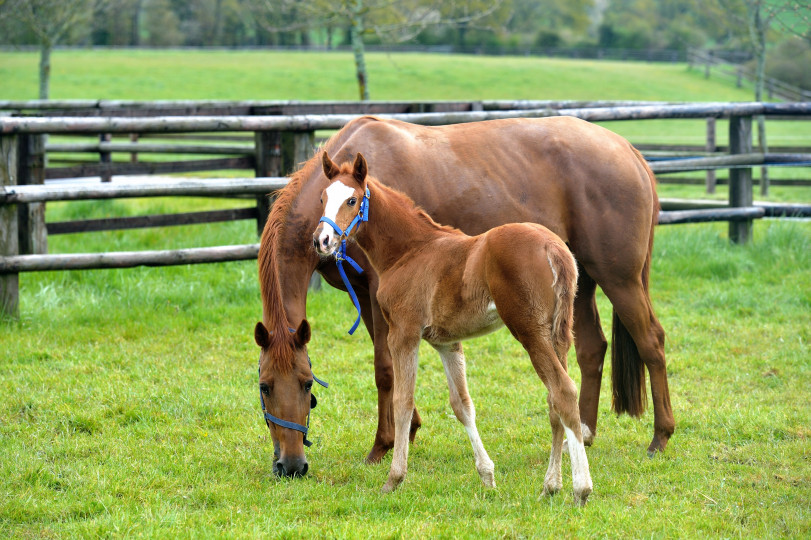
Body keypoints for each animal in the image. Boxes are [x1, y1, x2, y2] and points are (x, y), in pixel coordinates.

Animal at [314, 153, 592, 506]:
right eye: (322, 198)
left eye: (351, 200)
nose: (321, 240)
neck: (410, 251)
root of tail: (553, 247)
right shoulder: (447, 343)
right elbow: (462, 405)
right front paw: (487, 476)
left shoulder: (403, 334)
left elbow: (403, 402)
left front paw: (394, 478)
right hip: (558, 334)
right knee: (555, 400)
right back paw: (550, 485)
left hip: (530, 332)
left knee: (563, 391)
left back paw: (581, 489)